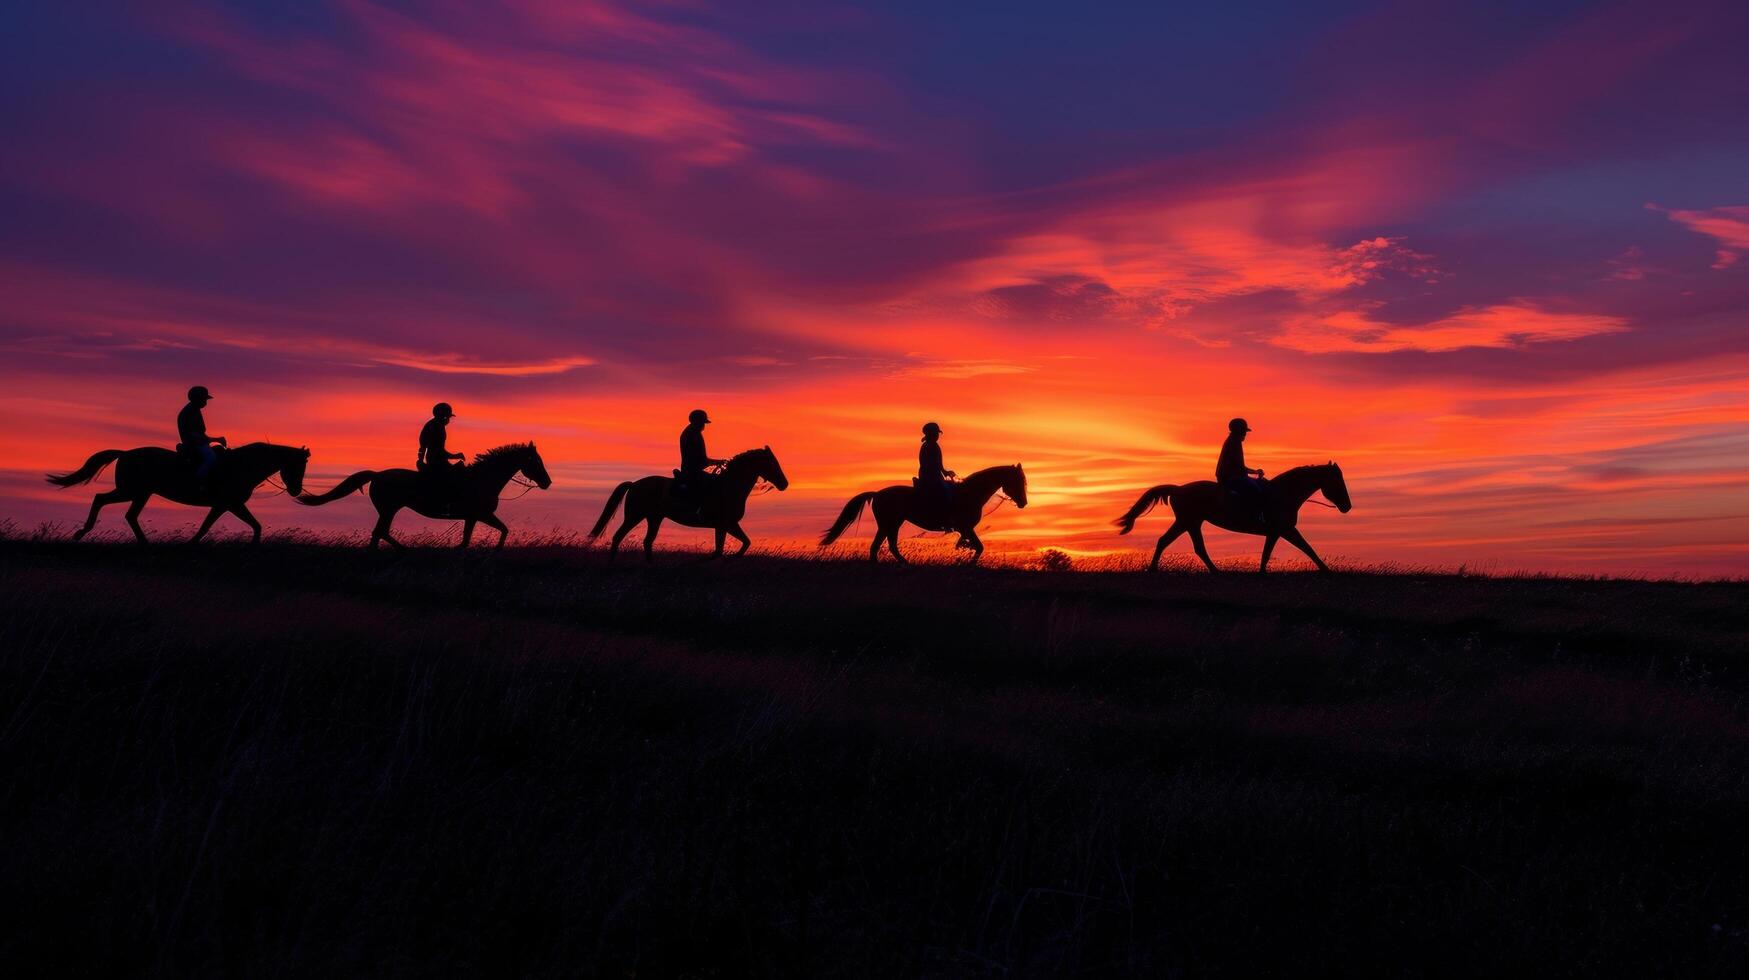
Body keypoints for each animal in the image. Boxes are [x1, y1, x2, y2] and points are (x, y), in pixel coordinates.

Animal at [46, 442, 313, 542]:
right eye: (297, 466)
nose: (296, 490)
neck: (242, 465)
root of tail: (125, 453)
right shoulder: (227, 504)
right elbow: (207, 527)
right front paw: (191, 544)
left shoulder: (228, 505)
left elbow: (255, 525)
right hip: (132, 491)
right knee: (101, 500)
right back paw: (83, 532)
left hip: (139, 493)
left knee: (128, 514)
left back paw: (143, 542)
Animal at [297, 442, 549, 546]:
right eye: (535, 461)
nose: (547, 482)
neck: (483, 479)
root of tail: (377, 475)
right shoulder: (481, 515)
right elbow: (503, 531)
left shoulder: (473, 517)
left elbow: (470, 540)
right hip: (389, 509)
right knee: (380, 532)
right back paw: (404, 551)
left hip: (388, 510)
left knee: (379, 533)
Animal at [591, 446, 790, 560]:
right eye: (772, 463)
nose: (784, 484)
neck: (729, 486)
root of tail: (634, 484)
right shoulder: (726, 524)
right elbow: (724, 549)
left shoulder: (727, 525)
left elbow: (743, 543)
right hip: (634, 516)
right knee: (618, 537)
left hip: (654, 518)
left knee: (647, 541)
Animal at [818, 462, 1021, 563]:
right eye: (1019, 480)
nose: (1023, 502)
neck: (971, 492)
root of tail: (876, 494)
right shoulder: (966, 527)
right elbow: (979, 547)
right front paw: (966, 561)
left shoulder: (965, 528)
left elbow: (974, 545)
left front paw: (962, 548)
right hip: (889, 523)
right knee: (882, 546)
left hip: (891, 524)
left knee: (884, 546)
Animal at [1119, 462, 1350, 570]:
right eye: (1338, 482)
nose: (1347, 507)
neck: (1284, 493)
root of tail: (1177, 489)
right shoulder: (1285, 529)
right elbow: (1308, 549)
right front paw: (1327, 571)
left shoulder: (1276, 532)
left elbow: (1267, 555)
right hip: (1188, 521)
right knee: (1178, 544)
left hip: (1190, 522)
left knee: (1177, 543)